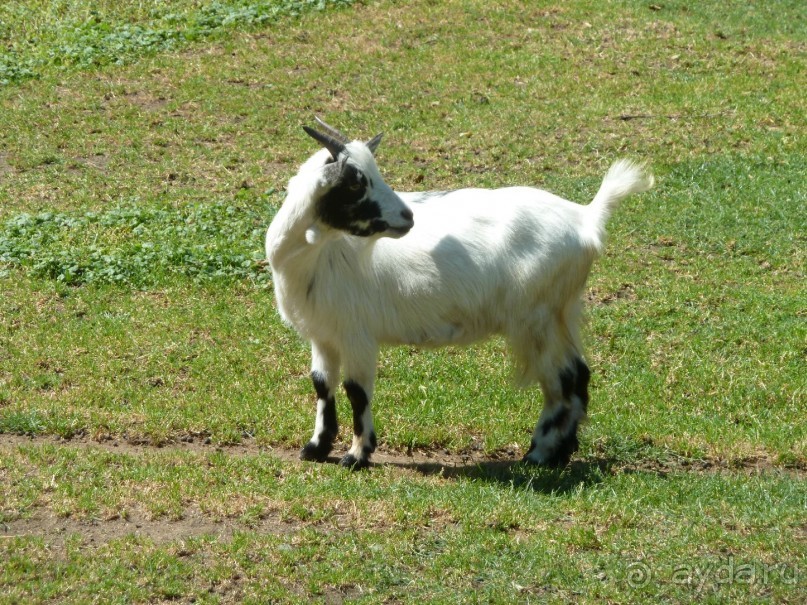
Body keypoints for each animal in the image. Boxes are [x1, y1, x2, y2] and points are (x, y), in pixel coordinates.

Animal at [268, 117, 652, 468]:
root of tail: (586, 218)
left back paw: (540, 454)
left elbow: (356, 391)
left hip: (537, 317)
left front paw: (357, 455)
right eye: (354, 183)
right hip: (561, 311)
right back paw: (559, 452)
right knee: (579, 373)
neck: (318, 255)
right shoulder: (323, 334)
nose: (407, 216)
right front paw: (316, 448)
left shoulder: (356, 333)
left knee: (564, 379)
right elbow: (322, 385)